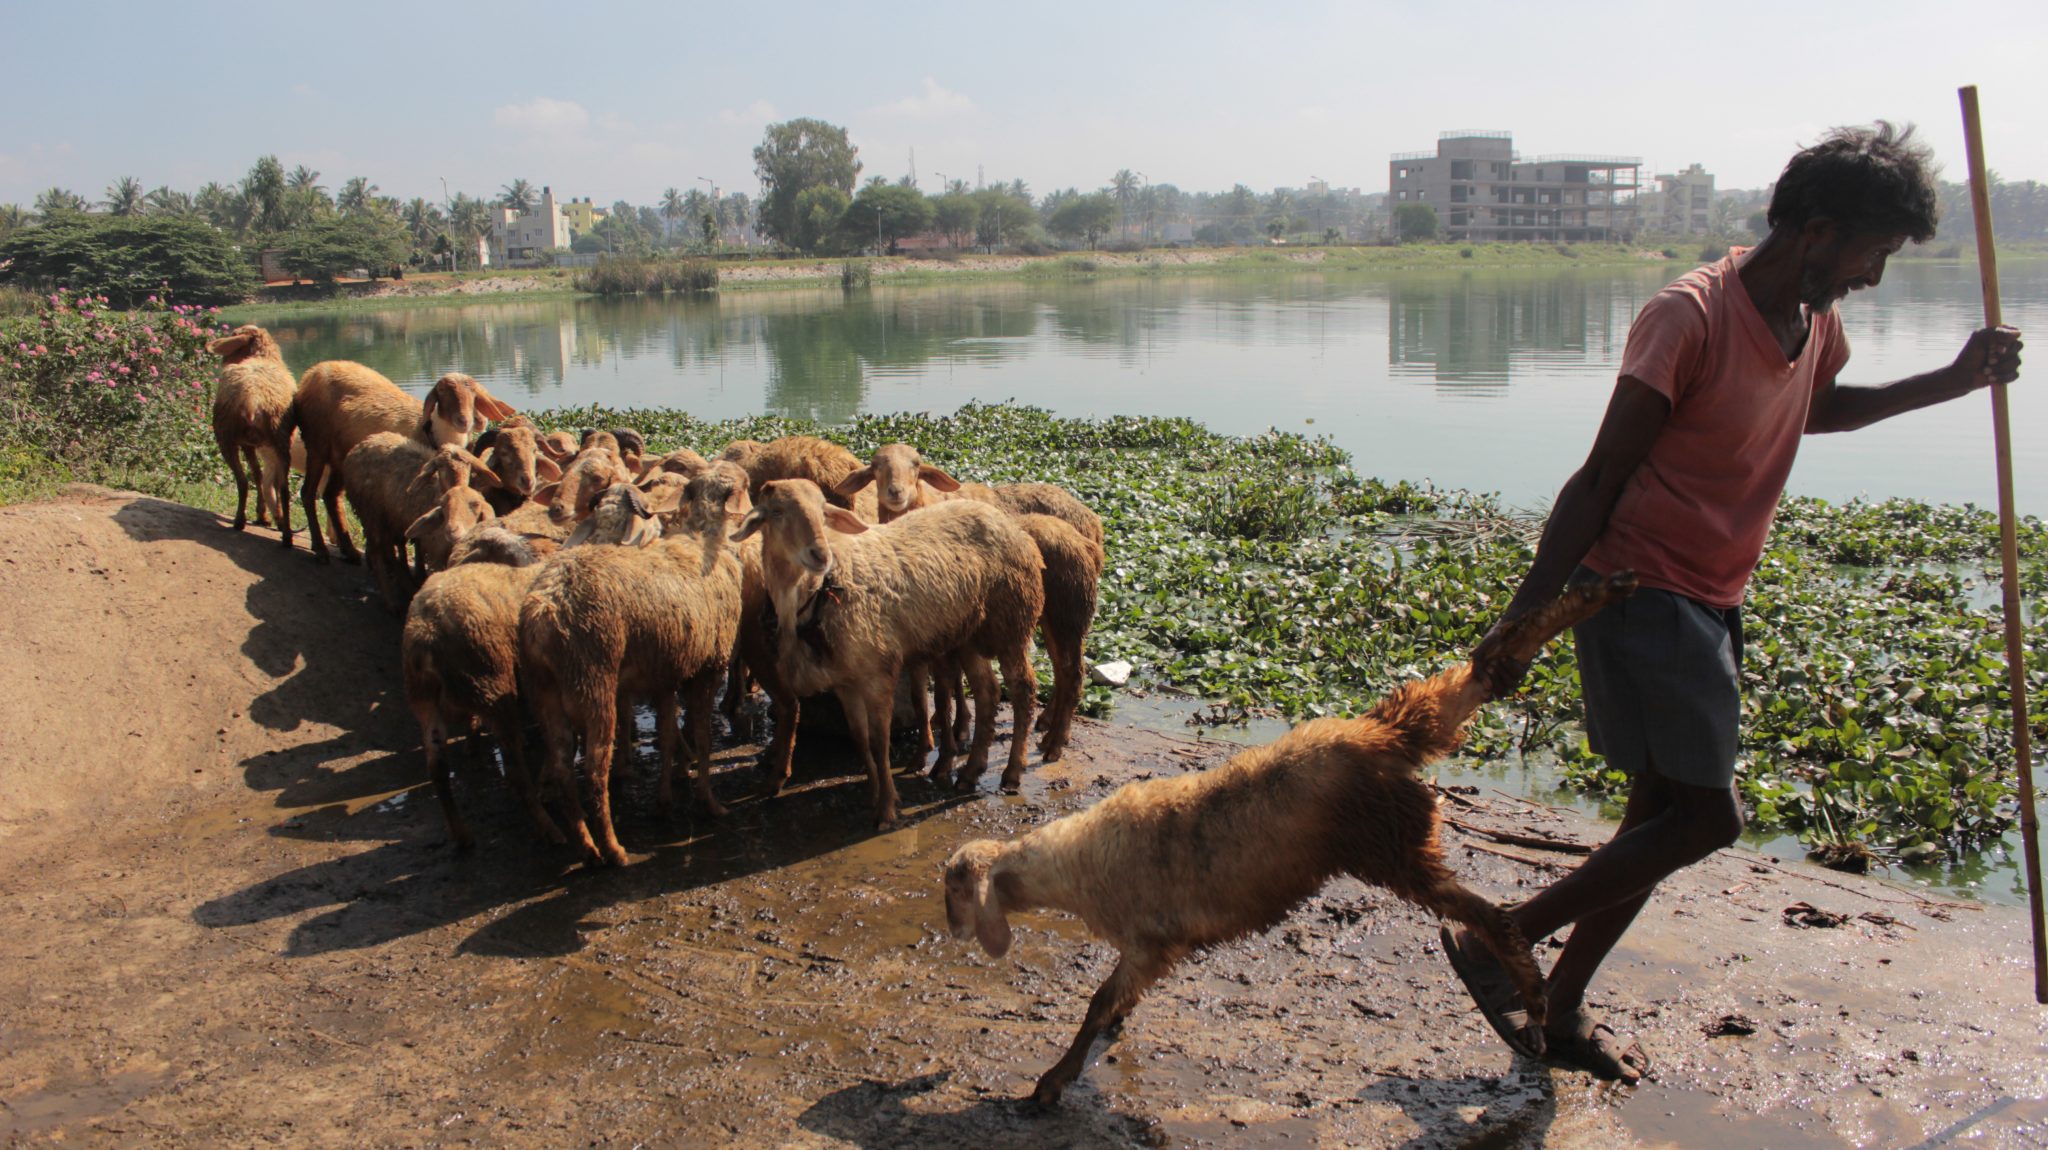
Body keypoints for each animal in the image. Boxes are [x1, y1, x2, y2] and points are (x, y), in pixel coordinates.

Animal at [209, 323, 299, 536]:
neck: (261, 355)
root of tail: (252, 398)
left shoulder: (248, 444)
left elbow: (257, 475)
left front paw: (262, 515)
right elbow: (262, 477)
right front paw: (265, 515)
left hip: (228, 436)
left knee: (242, 481)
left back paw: (240, 520)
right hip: (280, 441)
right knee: (281, 487)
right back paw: (283, 527)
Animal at [288, 364, 512, 560]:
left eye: (473, 393)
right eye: (441, 392)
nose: (463, 421)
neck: (433, 431)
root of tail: (312, 371)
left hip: (338, 459)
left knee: (330, 496)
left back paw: (349, 550)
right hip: (316, 445)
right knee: (308, 493)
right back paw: (320, 548)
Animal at [733, 476, 1048, 822]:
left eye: (823, 511)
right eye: (776, 512)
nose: (819, 554)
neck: (820, 590)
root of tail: (1011, 525)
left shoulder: (878, 672)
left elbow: (879, 740)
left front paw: (886, 808)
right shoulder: (845, 681)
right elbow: (860, 738)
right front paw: (872, 793)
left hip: (1011, 621)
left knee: (1022, 689)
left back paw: (1012, 772)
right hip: (969, 632)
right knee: (988, 692)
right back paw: (970, 772)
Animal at [937, 568, 1638, 1096]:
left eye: (954, 889)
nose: (951, 933)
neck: (1080, 863)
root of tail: (1379, 739)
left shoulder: (1148, 939)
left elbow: (1093, 1006)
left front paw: (1051, 1084)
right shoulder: (1153, 951)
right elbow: (1115, 1003)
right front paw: (1105, 1037)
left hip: (1392, 842)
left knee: (1493, 919)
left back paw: (1534, 1001)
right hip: (1403, 795)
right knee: (1472, 679)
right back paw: (1593, 598)